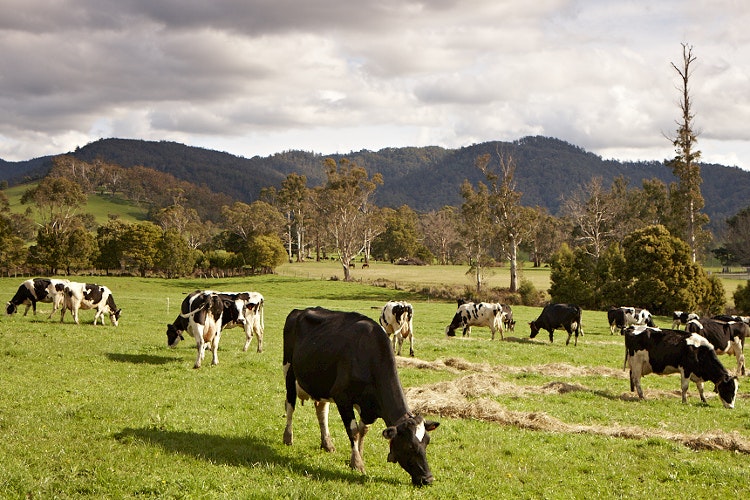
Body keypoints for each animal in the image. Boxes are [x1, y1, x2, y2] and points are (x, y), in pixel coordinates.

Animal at [284, 306, 440, 486]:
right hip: (289, 371)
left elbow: (362, 430)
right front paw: (357, 463)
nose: (428, 479)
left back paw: (327, 443)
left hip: (322, 384)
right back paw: (288, 437)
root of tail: (300, 310)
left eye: (427, 442)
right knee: (290, 406)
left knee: (321, 411)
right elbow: (353, 431)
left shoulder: (368, 407)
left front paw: (356, 457)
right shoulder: (342, 398)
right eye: (409, 446)